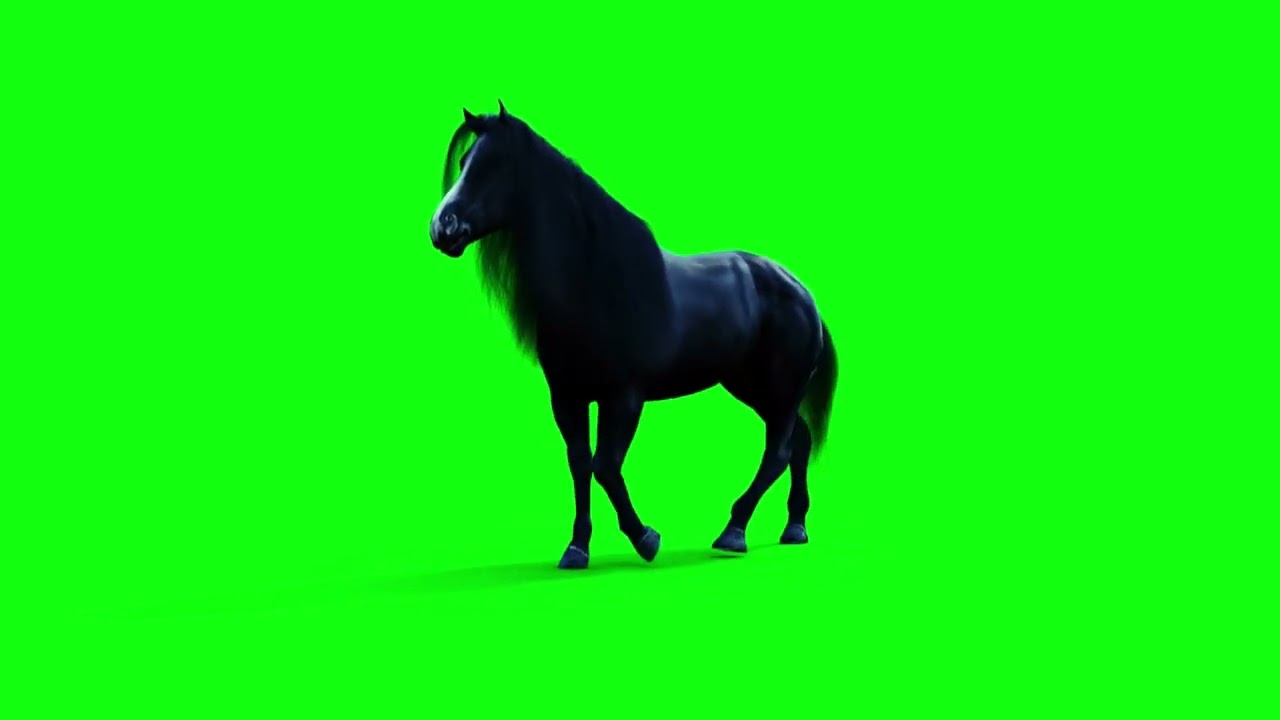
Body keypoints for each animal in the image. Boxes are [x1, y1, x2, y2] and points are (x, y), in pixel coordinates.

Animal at [428, 102, 839, 570]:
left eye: (494, 165)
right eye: (464, 162)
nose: (442, 227)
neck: (597, 283)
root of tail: (800, 290)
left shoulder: (624, 397)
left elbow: (605, 465)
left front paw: (646, 538)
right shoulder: (567, 398)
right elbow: (580, 464)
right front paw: (577, 549)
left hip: (780, 390)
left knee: (778, 453)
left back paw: (734, 532)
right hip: (756, 389)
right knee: (800, 441)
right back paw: (794, 528)